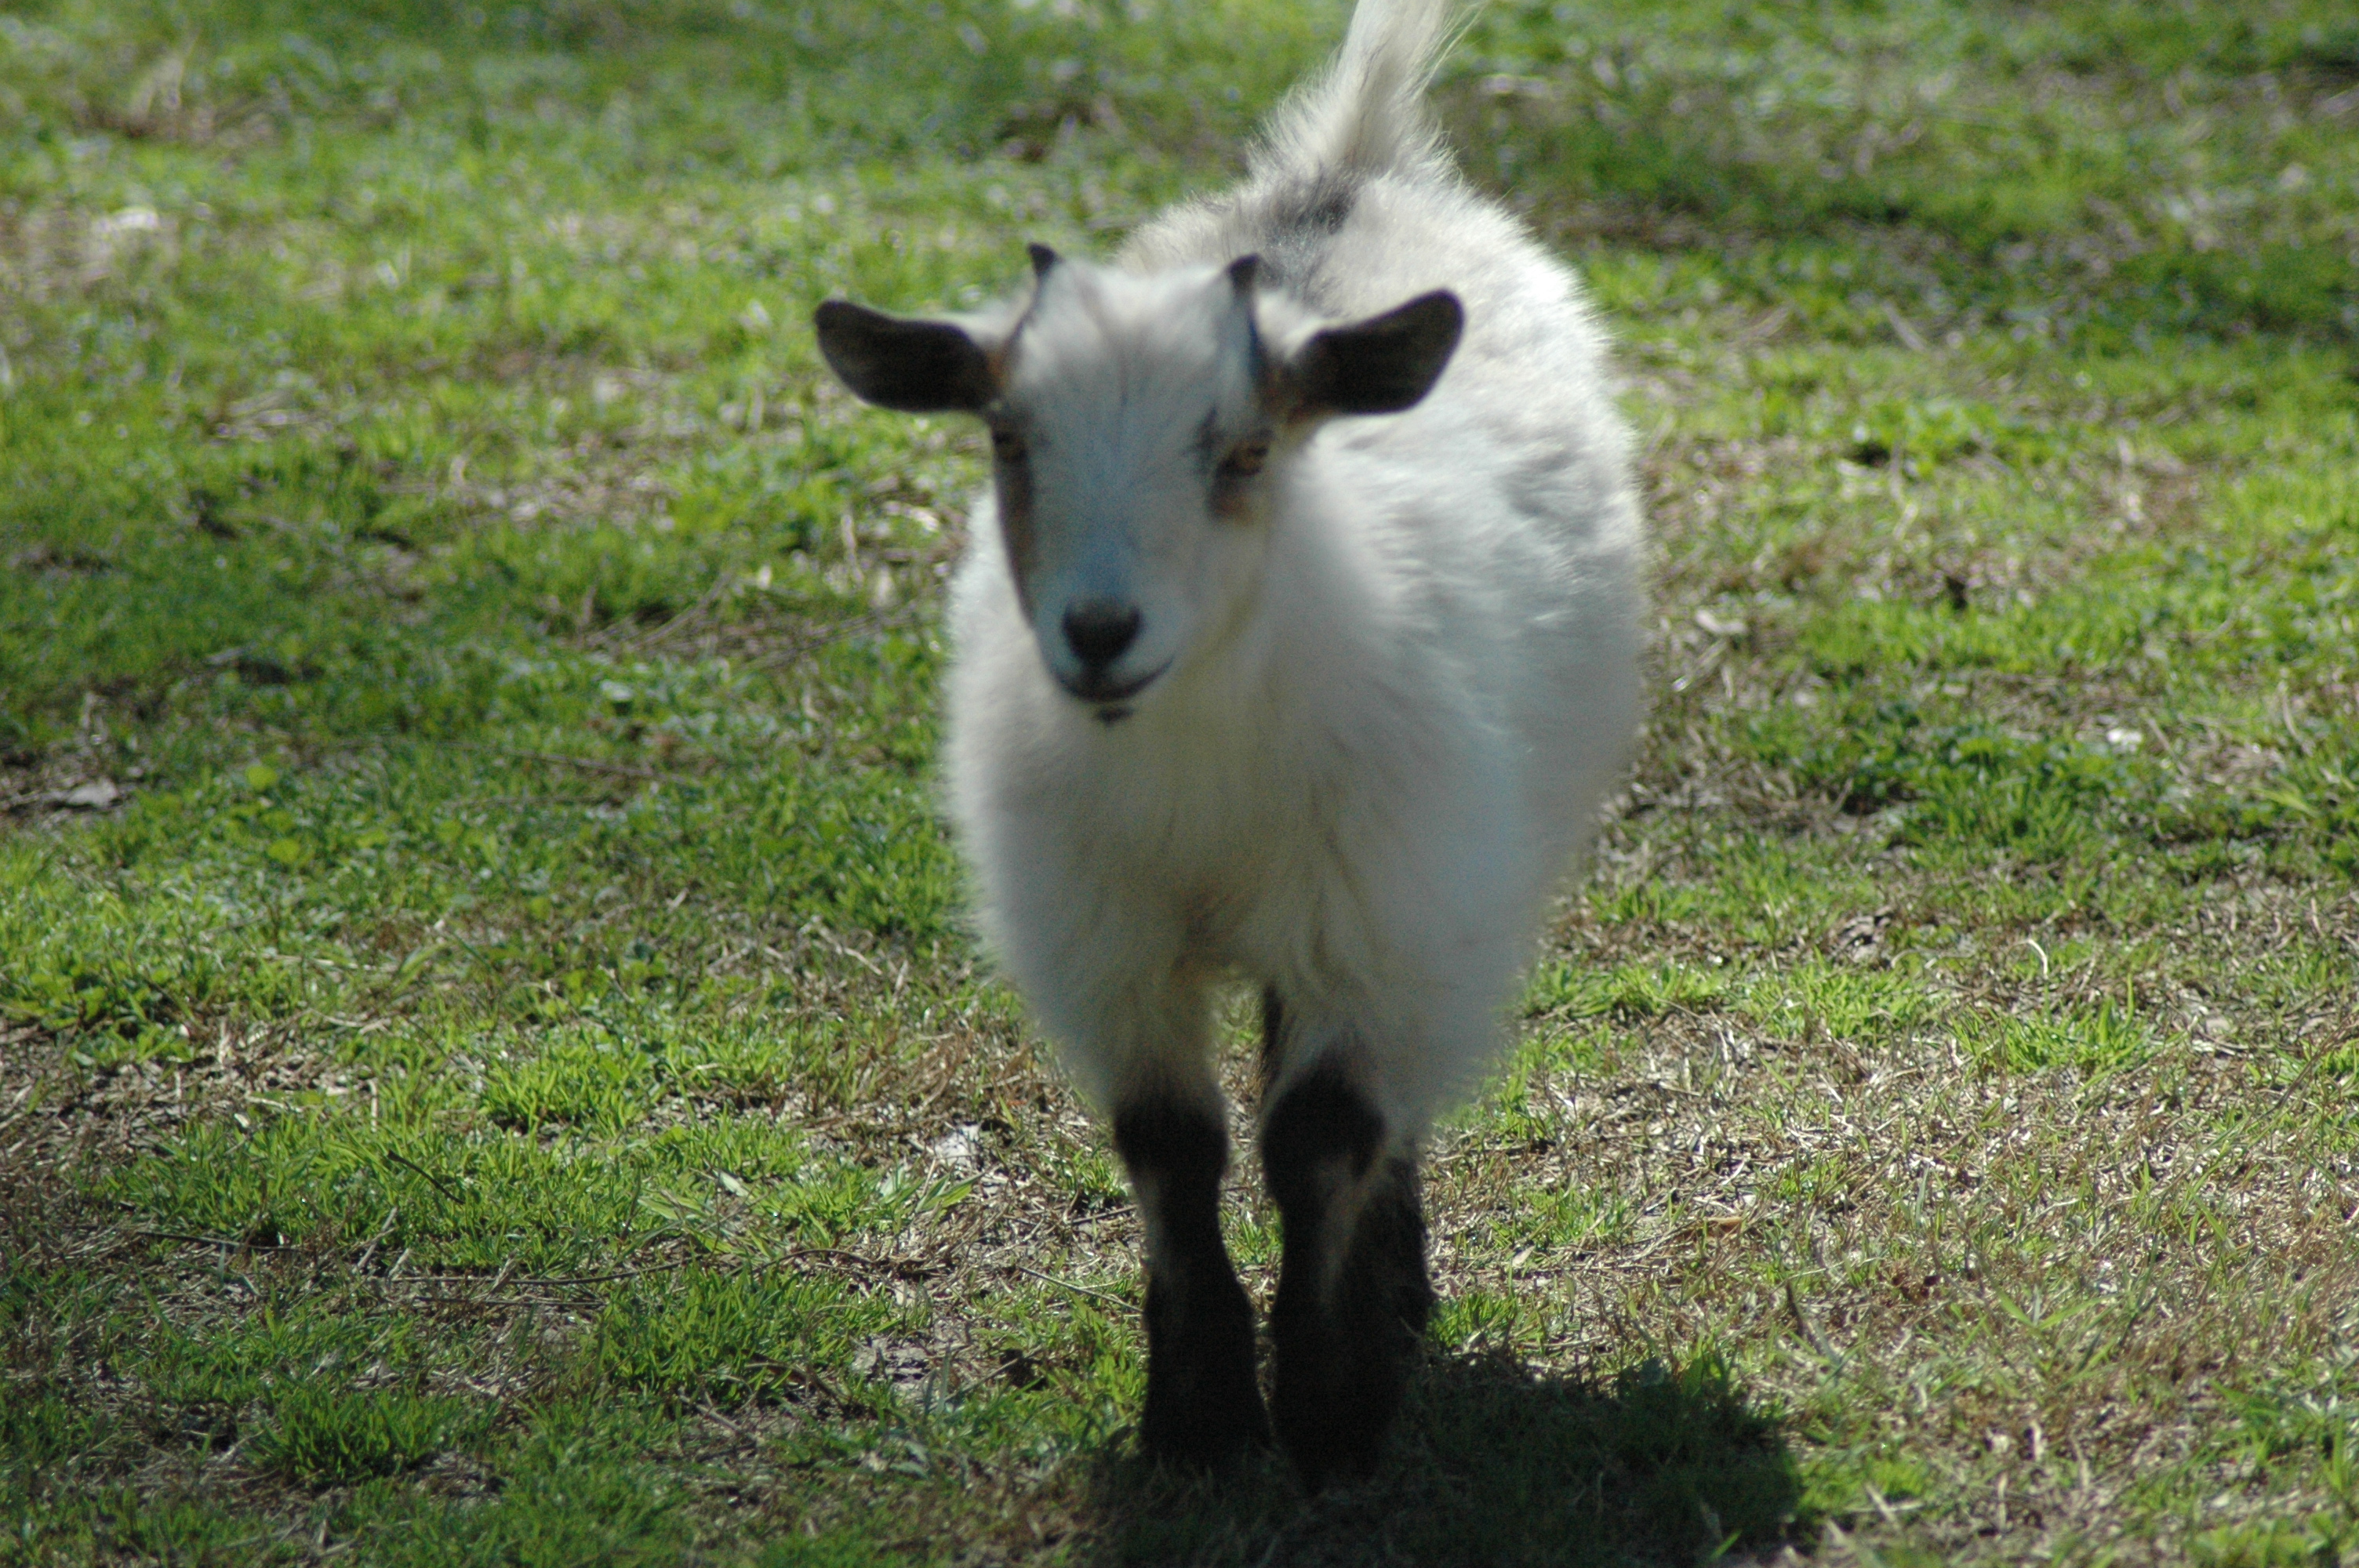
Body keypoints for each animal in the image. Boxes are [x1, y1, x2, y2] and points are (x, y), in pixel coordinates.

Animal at [813, 0, 1642, 1487]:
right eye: (1008, 439)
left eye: (1246, 451)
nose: (1098, 631)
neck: (1195, 778)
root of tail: (1350, 168)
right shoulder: (1103, 941)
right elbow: (1170, 1146)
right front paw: (1197, 1412)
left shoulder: (1374, 920)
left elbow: (1320, 1140)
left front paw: (1328, 1407)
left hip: (1432, 896)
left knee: (1389, 1109)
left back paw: (1398, 1288)